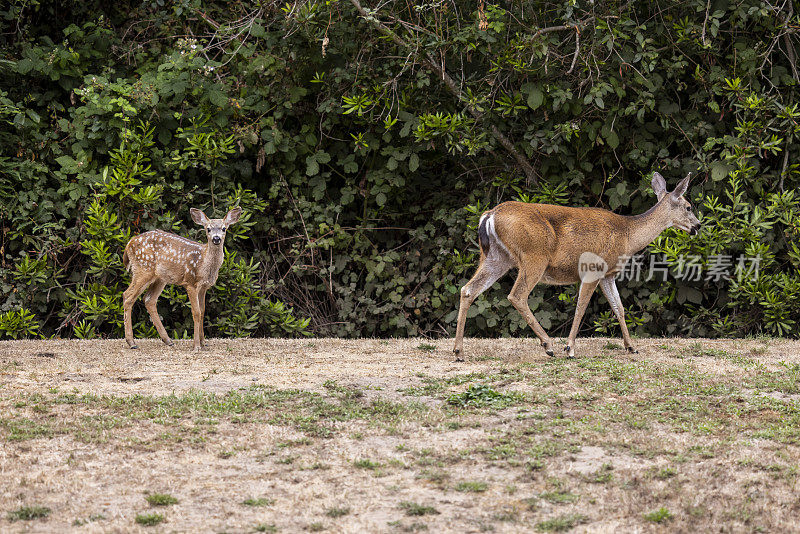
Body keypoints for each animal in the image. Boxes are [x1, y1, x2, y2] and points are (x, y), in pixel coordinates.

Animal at [122, 208, 241, 352]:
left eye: (224, 228)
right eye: (208, 229)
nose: (216, 238)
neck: (203, 263)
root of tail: (129, 244)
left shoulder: (204, 287)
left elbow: (203, 311)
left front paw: (203, 343)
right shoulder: (190, 282)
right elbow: (196, 312)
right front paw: (196, 346)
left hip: (160, 277)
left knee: (149, 300)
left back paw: (168, 340)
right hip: (143, 269)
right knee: (127, 296)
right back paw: (131, 342)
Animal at [456, 174, 700, 362]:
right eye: (688, 206)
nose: (698, 225)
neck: (627, 235)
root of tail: (489, 215)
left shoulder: (608, 274)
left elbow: (619, 308)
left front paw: (631, 347)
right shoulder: (593, 268)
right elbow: (581, 308)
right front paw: (570, 349)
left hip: (496, 257)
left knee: (468, 289)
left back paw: (458, 352)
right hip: (534, 255)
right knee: (516, 295)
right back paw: (549, 346)